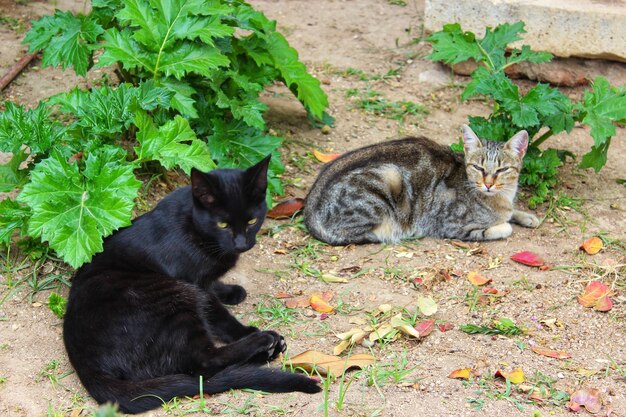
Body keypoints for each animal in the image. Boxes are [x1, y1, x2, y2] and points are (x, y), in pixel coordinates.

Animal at [62, 156, 320, 412]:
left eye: (252, 221)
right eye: (223, 225)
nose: (241, 244)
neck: (197, 229)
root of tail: (87, 367)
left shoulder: (204, 282)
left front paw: (231, 291)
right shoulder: (194, 283)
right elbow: (218, 314)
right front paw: (246, 330)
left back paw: (267, 352)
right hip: (175, 297)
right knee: (204, 363)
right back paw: (264, 341)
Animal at [302, 125, 536, 245]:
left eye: (502, 170)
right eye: (478, 168)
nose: (488, 184)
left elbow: (512, 212)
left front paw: (525, 216)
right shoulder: (453, 226)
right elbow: (499, 228)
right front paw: (505, 224)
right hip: (388, 179)